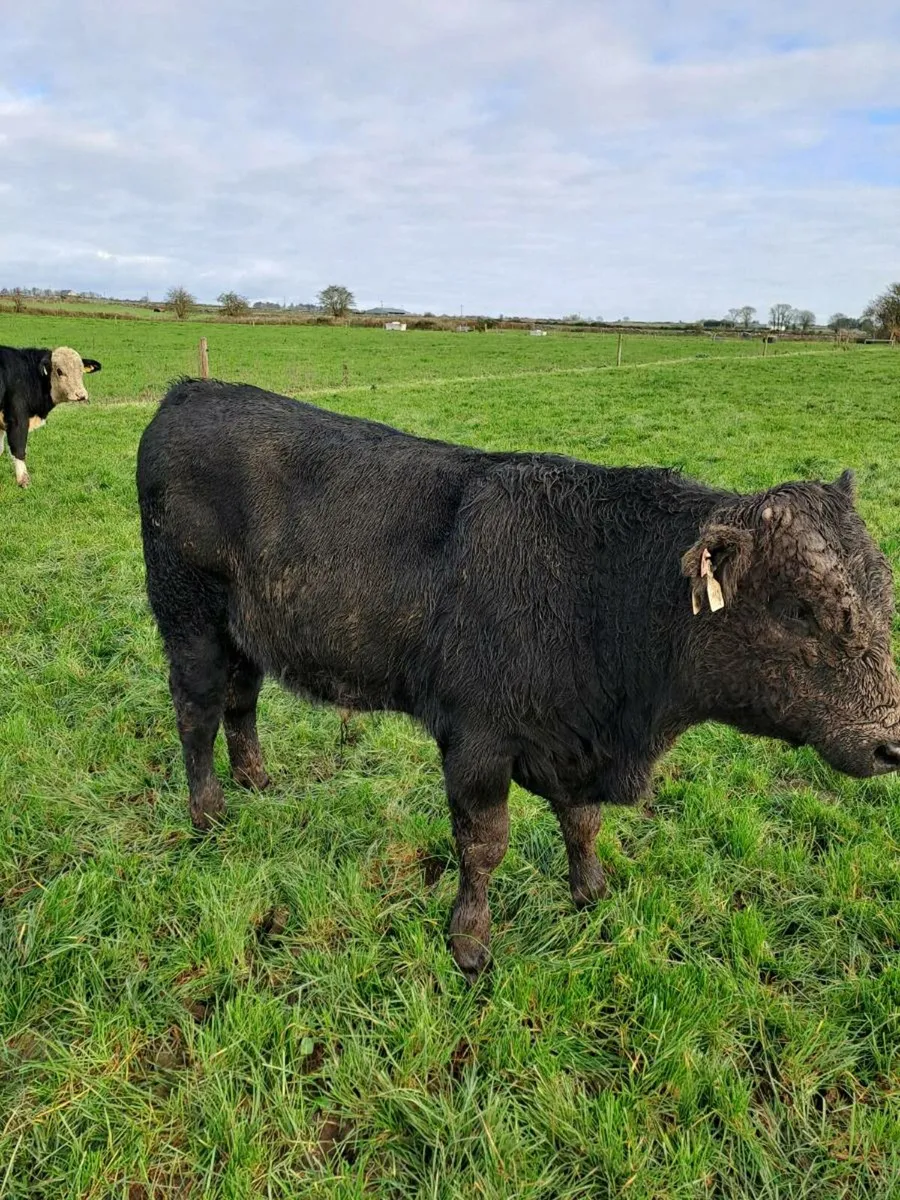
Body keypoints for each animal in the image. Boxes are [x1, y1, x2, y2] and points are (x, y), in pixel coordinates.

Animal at [0, 345, 102, 487]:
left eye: (81, 370)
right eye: (59, 371)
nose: (81, 395)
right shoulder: (17, 420)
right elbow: (19, 449)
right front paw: (24, 481)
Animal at [137, 379, 900, 980]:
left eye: (883, 591)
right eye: (798, 609)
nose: (892, 743)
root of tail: (190, 391)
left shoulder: (574, 744)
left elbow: (584, 823)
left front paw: (591, 893)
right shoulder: (476, 739)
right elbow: (484, 844)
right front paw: (469, 942)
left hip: (243, 633)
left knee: (242, 700)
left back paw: (257, 779)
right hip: (190, 621)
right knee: (197, 711)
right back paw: (209, 812)